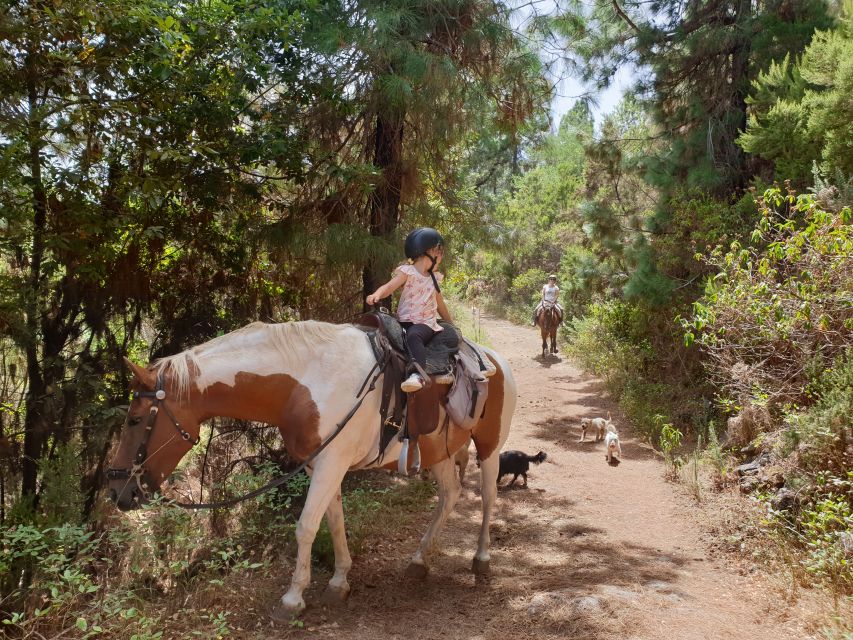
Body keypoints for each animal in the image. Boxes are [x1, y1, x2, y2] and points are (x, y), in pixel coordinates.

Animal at [109, 320, 516, 616]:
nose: (118, 491)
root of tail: (494, 359)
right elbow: (332, 520)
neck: (305, 385)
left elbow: (305, 526)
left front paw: (293, 599)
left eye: (134, 419)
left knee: (488, 496)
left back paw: (481, 559)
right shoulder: (319, 466)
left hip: (490, 447)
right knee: (450, 495)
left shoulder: (331, 463)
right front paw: (339, 581)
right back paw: (419, 561)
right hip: (440, 453)